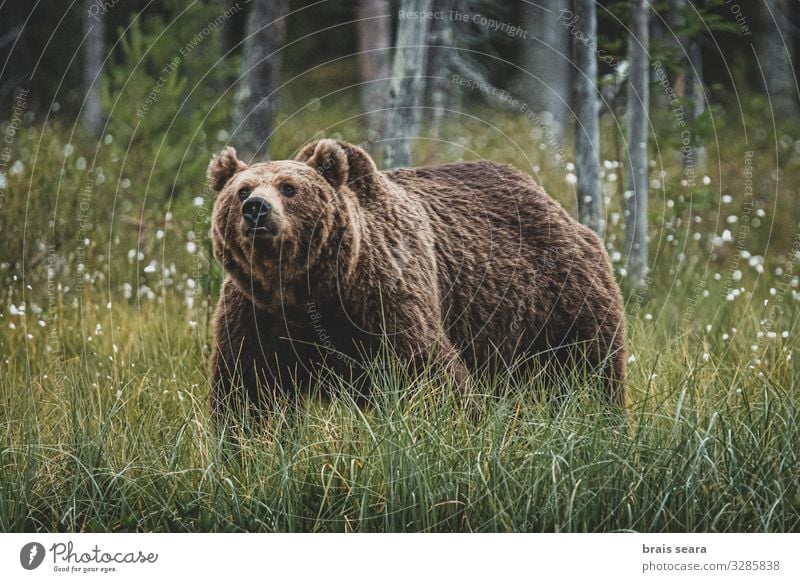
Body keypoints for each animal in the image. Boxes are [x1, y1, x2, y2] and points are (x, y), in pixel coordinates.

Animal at [206, 139, 624, 428]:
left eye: (289, 187)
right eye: (242, 190)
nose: (256, 209)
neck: (305, 289)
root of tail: (552, 202)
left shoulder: (382, 296)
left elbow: (427, 373)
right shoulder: (256, 313)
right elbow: (248, 393)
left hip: (559, 296)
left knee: (592, 370)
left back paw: (606, 421)